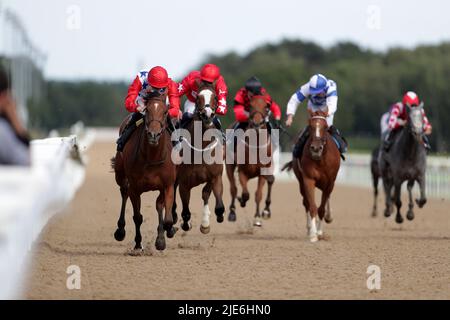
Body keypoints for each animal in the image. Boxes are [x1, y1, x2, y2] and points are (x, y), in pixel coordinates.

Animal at [110, 96, 178, 251]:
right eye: (147, 110)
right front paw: (137, 243)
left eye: (165, 112)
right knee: (124, 192)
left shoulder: (167, 186)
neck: (152, 157)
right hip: (120, 175)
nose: (154, 134)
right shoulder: (135, 188)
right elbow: (137, 217)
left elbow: (167, 217)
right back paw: (120, 230)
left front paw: (163, 237)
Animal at [174, 80, 227, 234]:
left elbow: (217, 204)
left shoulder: (215, 176)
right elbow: (185, 212)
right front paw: (186, 224)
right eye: (198, 97)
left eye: (216, 97)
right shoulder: (184, 183)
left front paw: (206, 223)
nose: (207, 114)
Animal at [225, 95, 274, 228]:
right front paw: (242, 200)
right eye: (250, 106)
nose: (257, 123)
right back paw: (232, 212)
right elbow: (245, 194)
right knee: (233, 188)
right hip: (229, 165)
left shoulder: (263, 172)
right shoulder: (242, 171)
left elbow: (258, 194)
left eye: (266, 107)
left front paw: (257, 217)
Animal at [284, 110, 340, 242]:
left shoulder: (330, 182)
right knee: (306, 203)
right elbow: (312, 206)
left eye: (325, 127)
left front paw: (319, 231)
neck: (320, 160)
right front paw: (313, 234)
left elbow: (322, 207)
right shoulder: (308, 179)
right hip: (301, 182)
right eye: (310, 126)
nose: (315, 148)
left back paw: (328, 217)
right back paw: (309, 229)